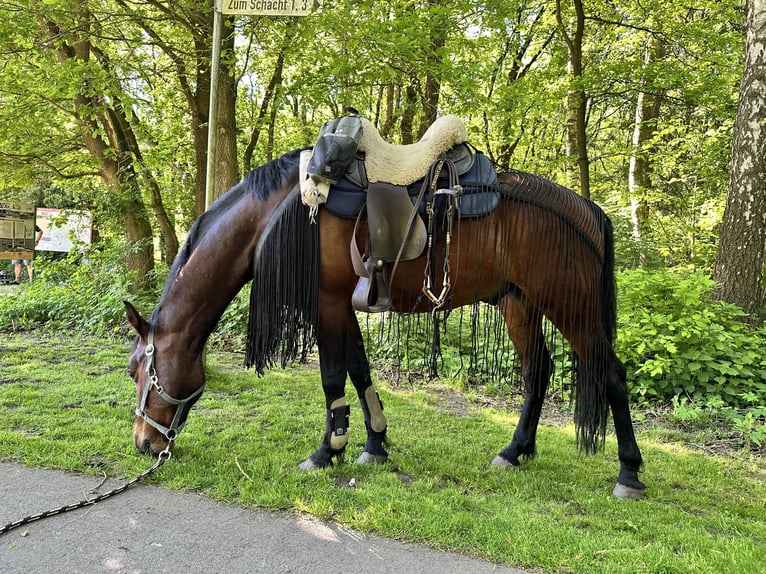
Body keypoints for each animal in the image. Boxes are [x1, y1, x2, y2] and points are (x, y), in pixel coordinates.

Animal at [124, 147, 646, 499]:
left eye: (137, 372)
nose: (145, 443)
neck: (282, 210)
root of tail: (587, 211)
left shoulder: (327, 303)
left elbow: (333, 377)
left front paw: (327, 450)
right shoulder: (344, 304)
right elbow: (359, 371)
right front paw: (374, 443)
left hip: (570, 306)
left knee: (612, 376)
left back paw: (629, 473)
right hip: (519, 303)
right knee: (538, 372)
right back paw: (515, 451)